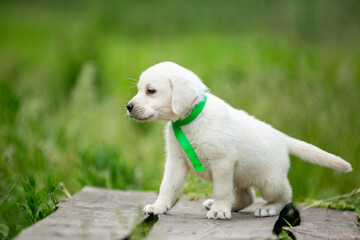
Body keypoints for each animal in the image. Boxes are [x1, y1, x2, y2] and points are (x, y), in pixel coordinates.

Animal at [126, 60, 352, 219]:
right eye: (139, 89)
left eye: (151, 91)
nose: (128, 106)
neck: (192, 119)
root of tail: (282, 137)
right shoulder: (177, 161)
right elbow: (167, 187)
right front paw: (158, 207)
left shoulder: (222, 163)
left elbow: (221, 190)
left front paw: (219, 210)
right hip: (242, 175)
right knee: (247, 196)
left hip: (270, 182)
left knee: (285, 195)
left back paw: (268, 209)